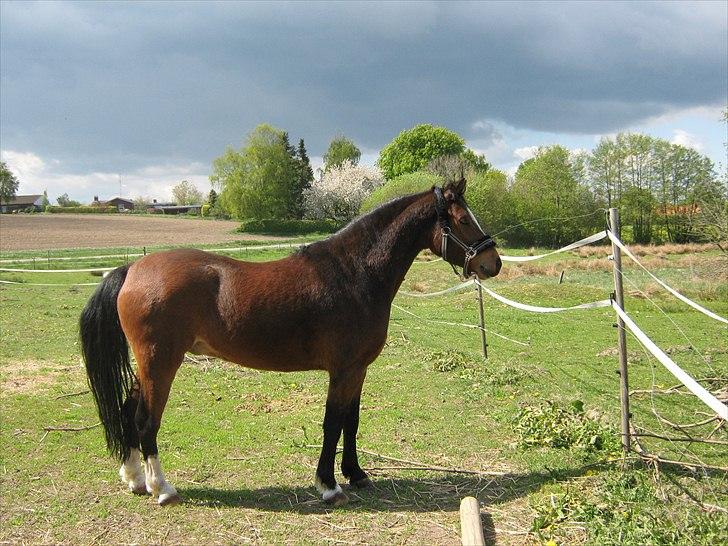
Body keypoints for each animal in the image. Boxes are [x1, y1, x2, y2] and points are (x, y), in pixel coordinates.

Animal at [79, 178, 500, 506]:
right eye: (463, 219)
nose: (492, 263)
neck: (354, 273)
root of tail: (132, 268)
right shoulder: (342, 370)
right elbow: (332, 423)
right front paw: (329, 485)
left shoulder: (358, 370)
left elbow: (351, 421)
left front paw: (356, 474)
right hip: (161, 362)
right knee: (145, 419)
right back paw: (161, 487)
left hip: (148, 365)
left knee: (127, 411)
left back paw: (134, 478)